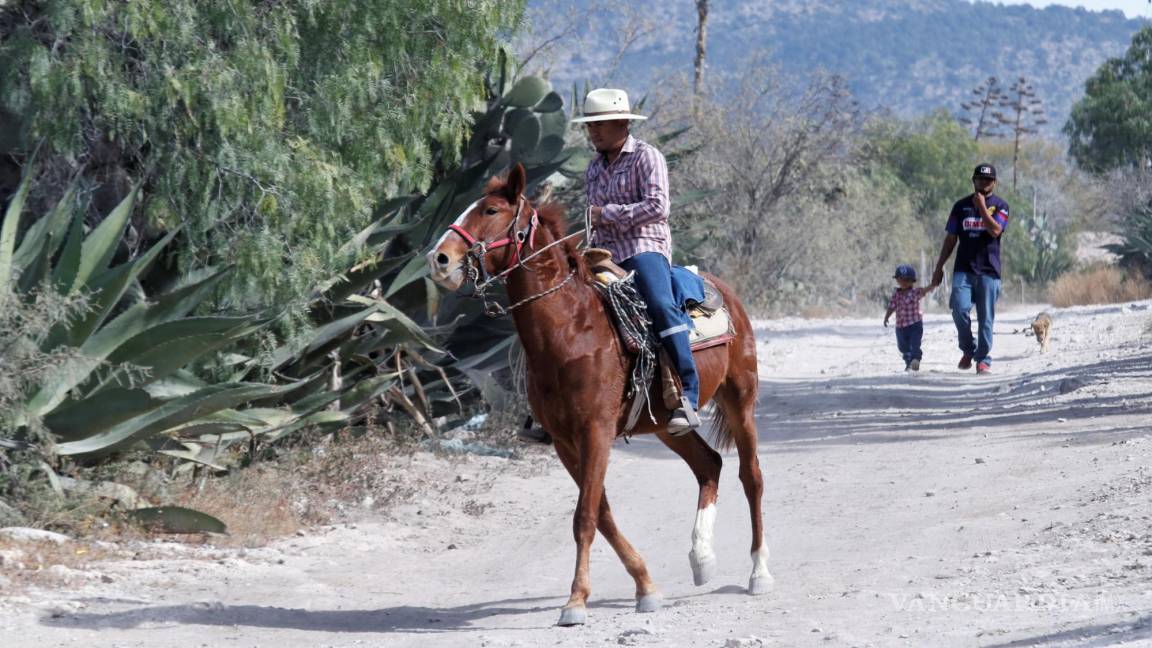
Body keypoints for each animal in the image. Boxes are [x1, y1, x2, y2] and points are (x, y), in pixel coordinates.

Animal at [426, 162, 774, 627]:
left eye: (491, 210)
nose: (439, 259)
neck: (572, 330)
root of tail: (727, 294)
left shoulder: (595, 431)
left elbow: (585, 516)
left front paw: (575, 602)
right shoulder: (564, 441)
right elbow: (601, 512)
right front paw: (645, 586)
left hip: (740, 400)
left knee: (751, 477)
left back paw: (759, 573)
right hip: (665, 425)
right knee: (709, 465)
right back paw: (701, 559)